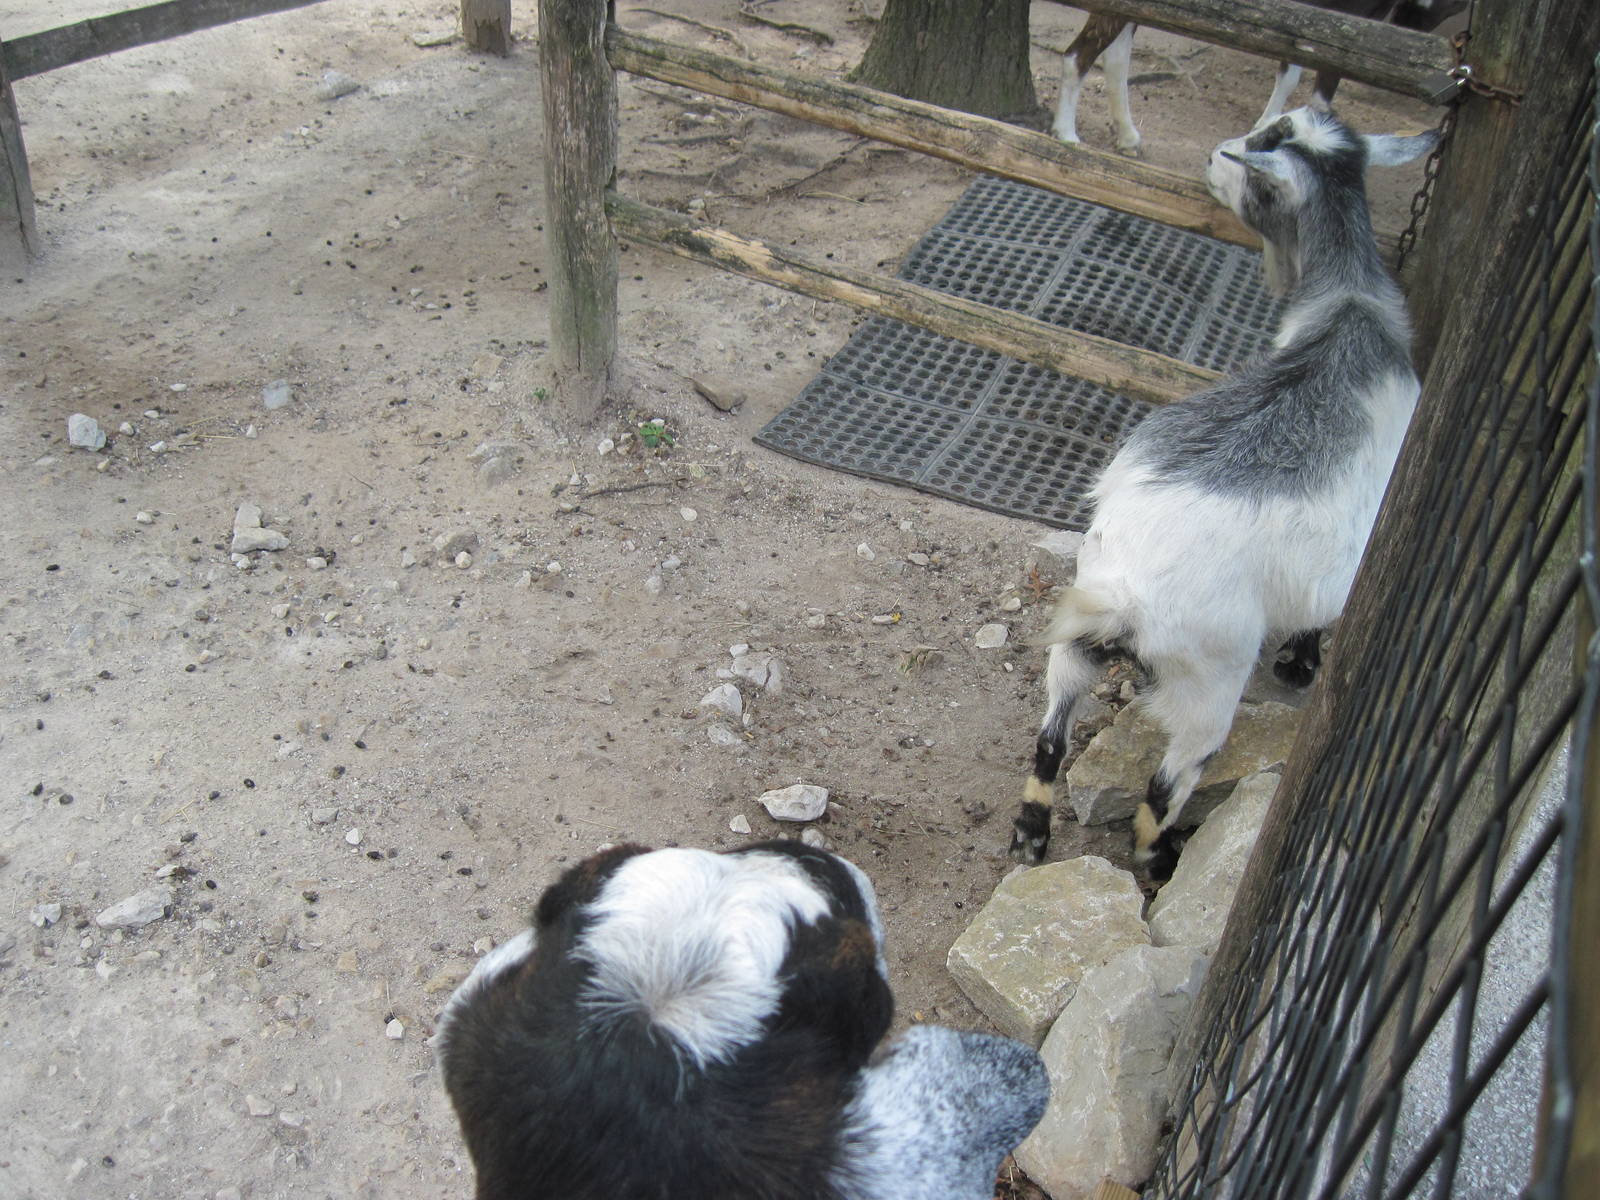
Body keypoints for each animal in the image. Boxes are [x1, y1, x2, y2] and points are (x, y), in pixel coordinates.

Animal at [1009, 108, 1436, 879]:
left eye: (1273, 135)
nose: (1214, 156)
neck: (1349, 311)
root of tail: (1125, 599)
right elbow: (1320, 614)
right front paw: (1301, 663)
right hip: (1207, 681)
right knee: (1162, 787)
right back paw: (1158, 861)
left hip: (1074, 642)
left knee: (1051, 736)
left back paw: (1030, 835)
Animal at [1052, 2, 1463, 154]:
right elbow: (1319, 91)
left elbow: (1293, 69)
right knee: (1078, 55)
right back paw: (1067, 134)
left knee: (1115, 53)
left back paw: (1127, 136)